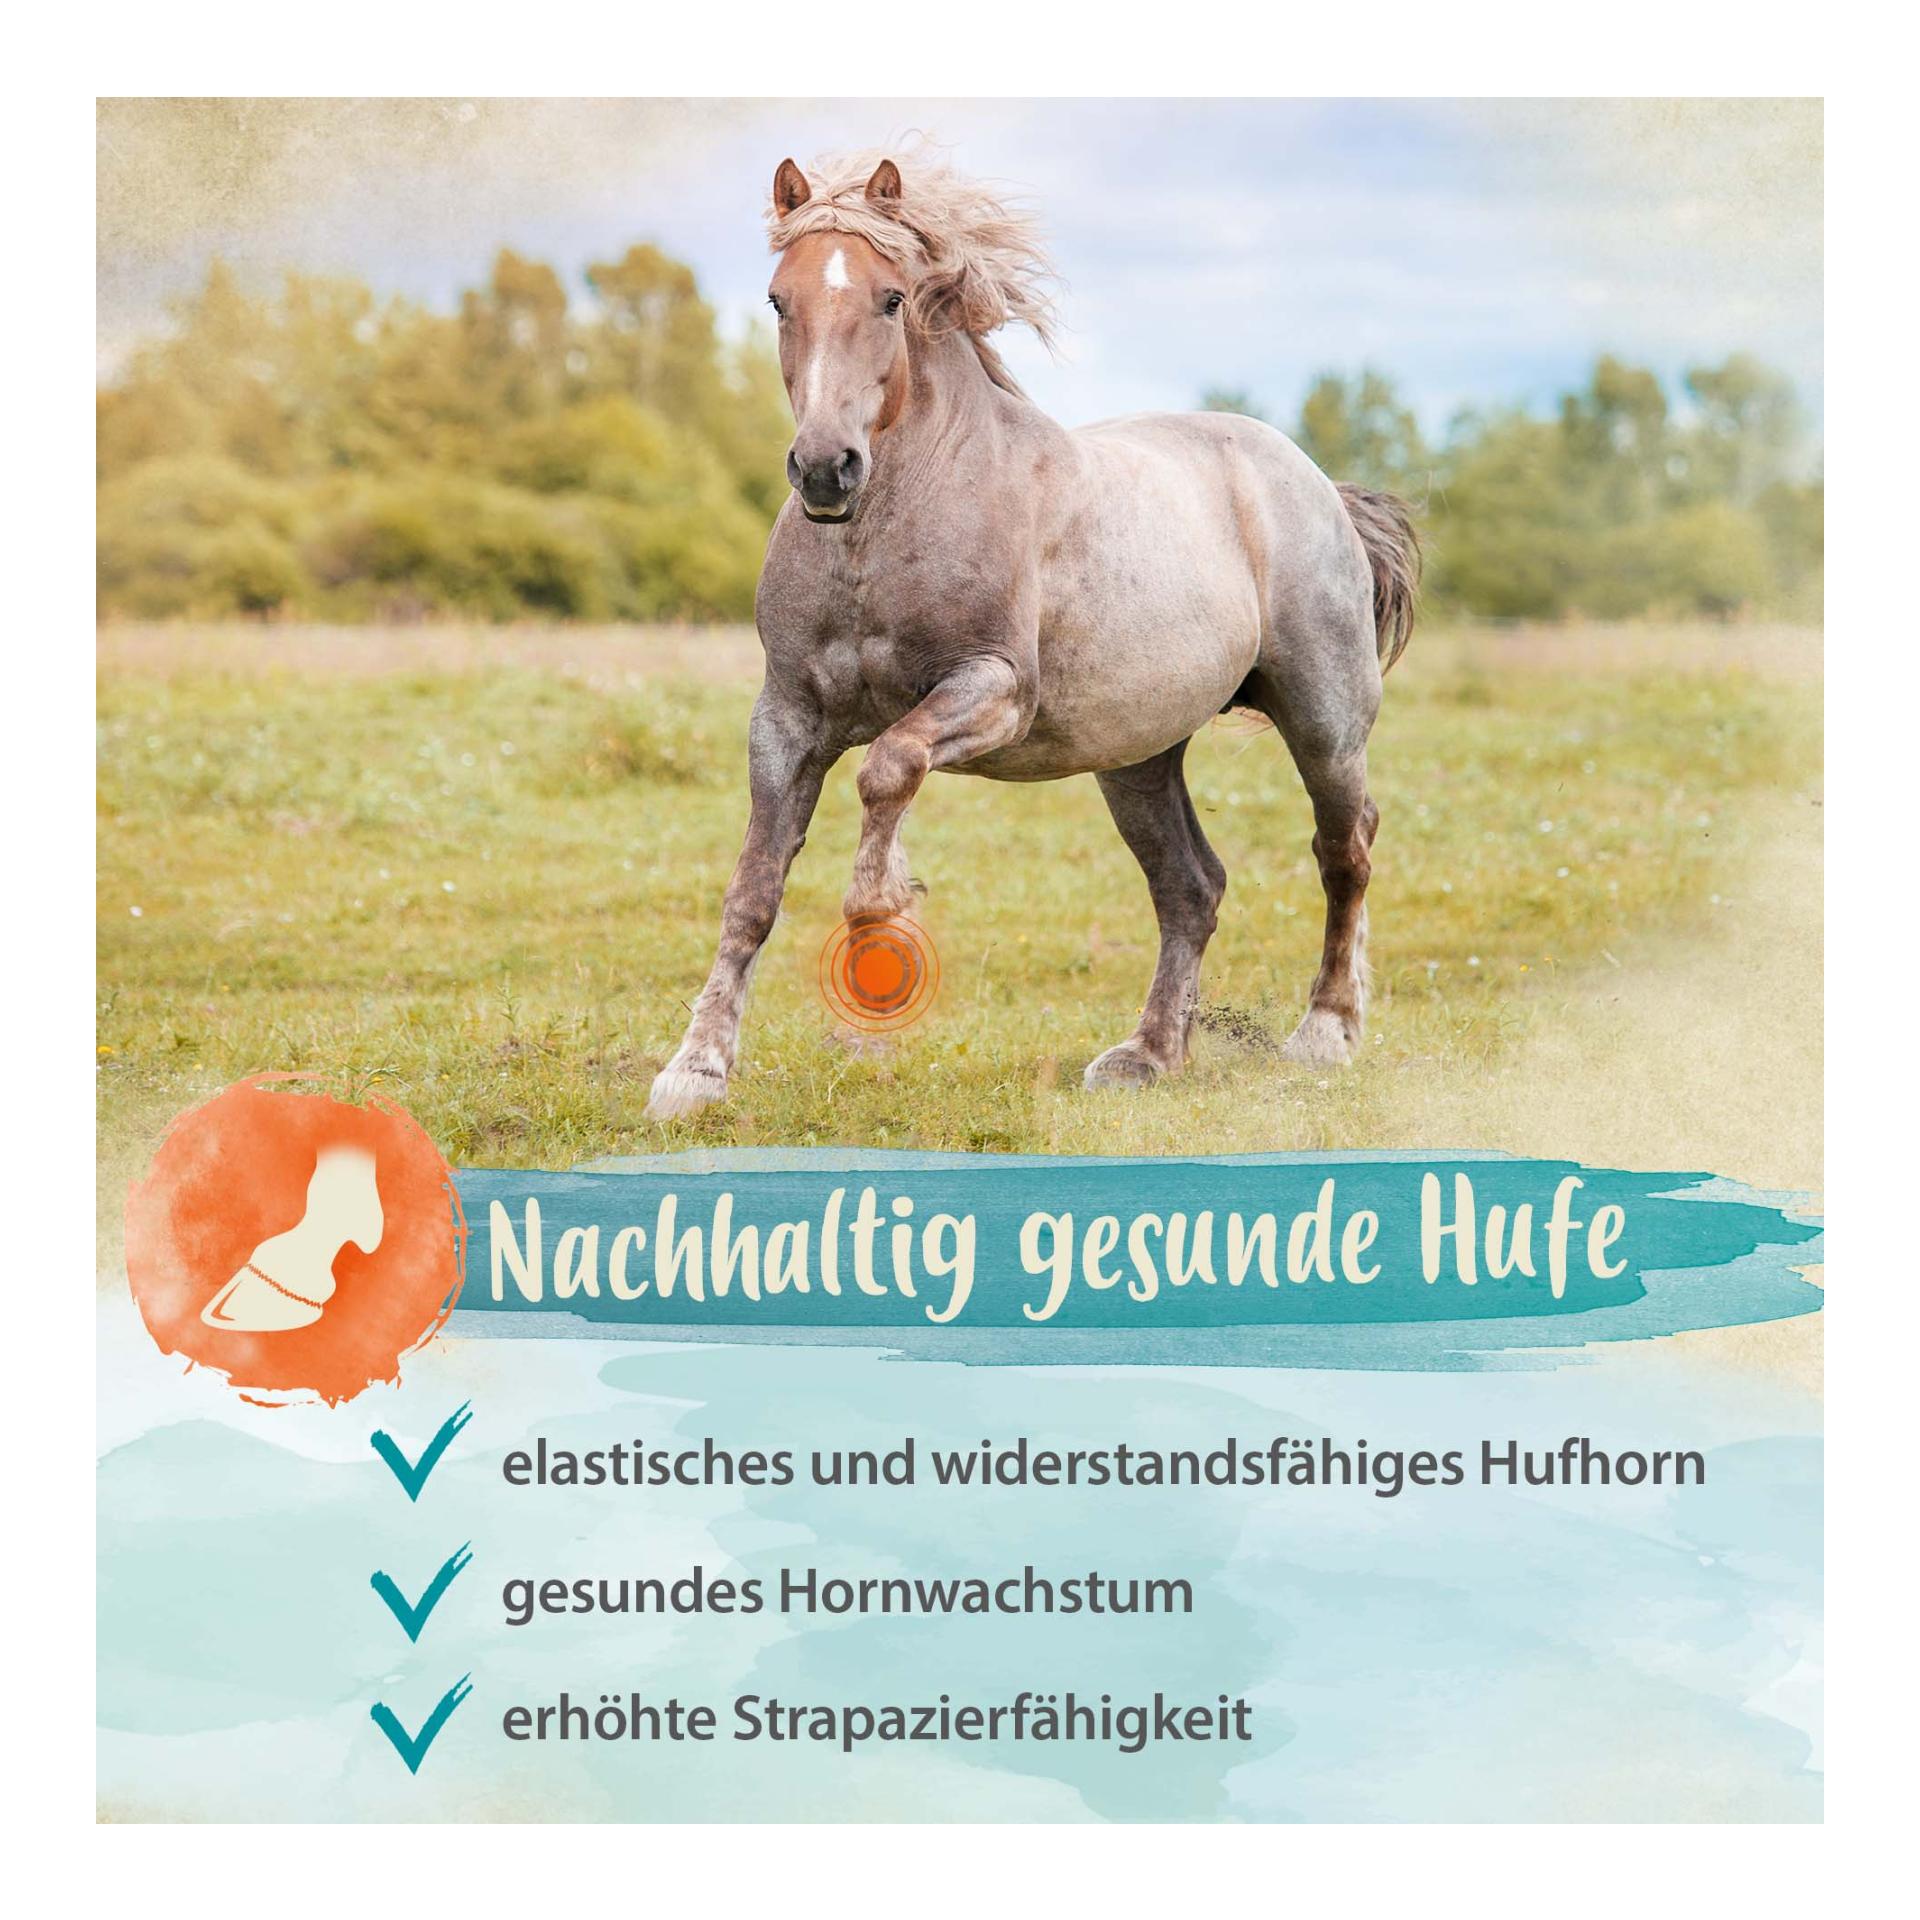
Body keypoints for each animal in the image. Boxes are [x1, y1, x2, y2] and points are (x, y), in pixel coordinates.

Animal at [647, 149, 1419, 1120]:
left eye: (891, 299)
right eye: (779, 300)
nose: (826, 470)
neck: (884, 532)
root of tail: (1320, 486)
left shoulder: (996, 691)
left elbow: (889, 764)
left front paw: (881, 904)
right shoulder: (784, 720)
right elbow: (753, 890)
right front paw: (694, 1070)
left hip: (1323, 718)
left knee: (1343, 850)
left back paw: (1324, 1032)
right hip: (1138, 758)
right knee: (1191, 887)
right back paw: (1147, 1055)